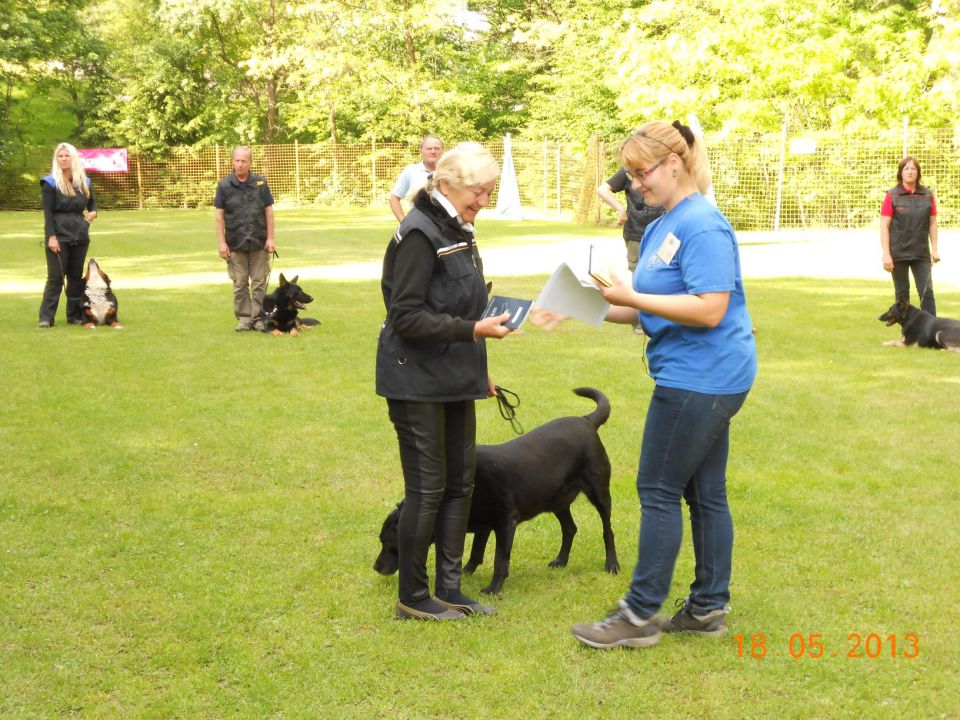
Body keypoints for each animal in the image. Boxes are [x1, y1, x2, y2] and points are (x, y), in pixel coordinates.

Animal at [372, 388, 620, 596]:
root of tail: (585, 420)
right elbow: (475, 552)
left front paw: (493, 588)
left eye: (387, 541)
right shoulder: (483, 525)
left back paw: (612, 564)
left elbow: (500, 560)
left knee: (607, 531)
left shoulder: (506, 522)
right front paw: (465, 572)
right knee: (570, 528)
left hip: (599, 493)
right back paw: (560, 561)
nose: (375, 567)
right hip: (556, 500)